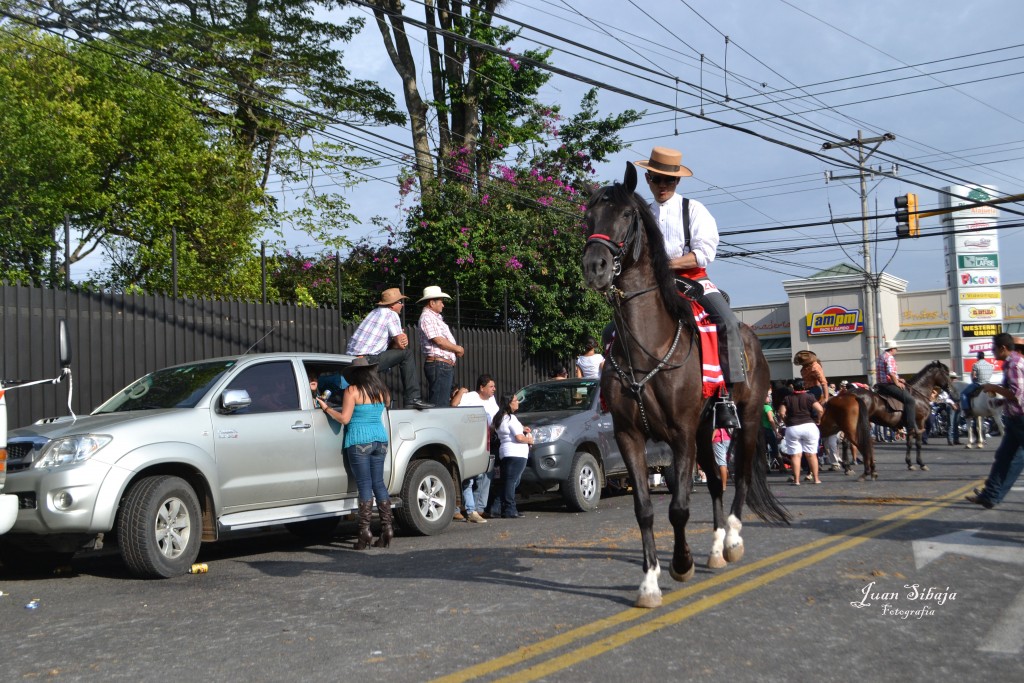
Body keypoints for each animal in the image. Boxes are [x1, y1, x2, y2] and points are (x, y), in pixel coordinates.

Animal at [581, 163, 786, 610]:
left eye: (627, 215)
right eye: (589, 216)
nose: (595, 266)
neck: (649, 346)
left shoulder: (680, 434)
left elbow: (678, 507)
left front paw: (681, 564)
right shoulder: (630, 435)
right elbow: (645, 508)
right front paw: (649, 584)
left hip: (745, 419)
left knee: (740, 476)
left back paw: (732, 541)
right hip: (708, 430)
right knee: (717, 480)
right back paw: (715, 549)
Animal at [815, 362, 950, 481]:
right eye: (946, 373)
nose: (949, 388)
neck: (918, 395)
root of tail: (847, 395)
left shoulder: (910, 426)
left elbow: (909, 443)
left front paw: (910, 463)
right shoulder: (919, 422)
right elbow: (918, 444)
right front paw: (921, 463)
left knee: (846, 443)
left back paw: (848, 468)